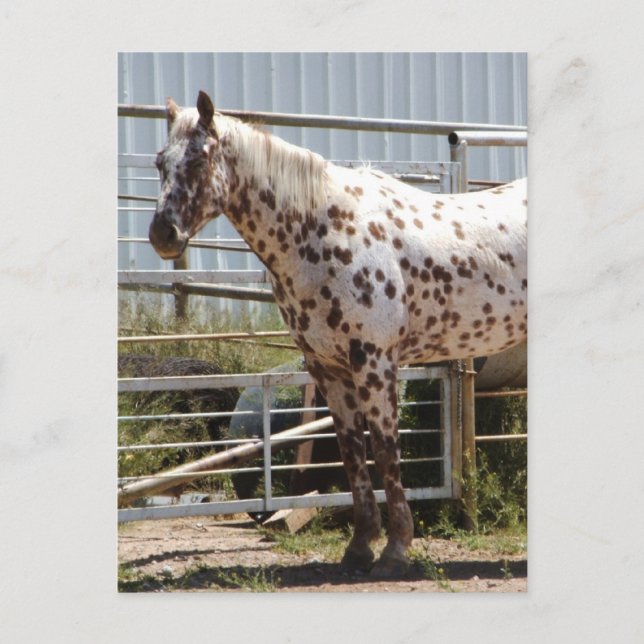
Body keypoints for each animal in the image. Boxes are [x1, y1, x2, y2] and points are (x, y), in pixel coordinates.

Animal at [148, 90, 527, 577]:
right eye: (160, 161)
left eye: (199, 159)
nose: (163, 234)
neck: (325, 230)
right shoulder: (328, 370)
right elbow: (351, 454)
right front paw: (360, 547)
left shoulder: (375, 363)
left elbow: (384, 451)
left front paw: (395, 551)